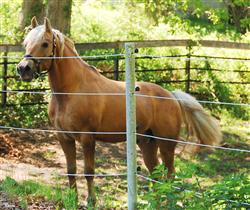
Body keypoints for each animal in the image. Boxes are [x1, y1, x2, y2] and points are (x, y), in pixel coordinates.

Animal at [17, 17, 221, 204]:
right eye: (26, 43)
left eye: (44, 43)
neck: (71, 90)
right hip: (147, 143)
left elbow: (89, 172)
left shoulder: (87, 138)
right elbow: (71, 171)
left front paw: (91, 201)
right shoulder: (64, 138)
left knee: (170, 175)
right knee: (155, 173)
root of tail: (171, 95)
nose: (23, 69)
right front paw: (73, 200)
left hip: (166, 145)